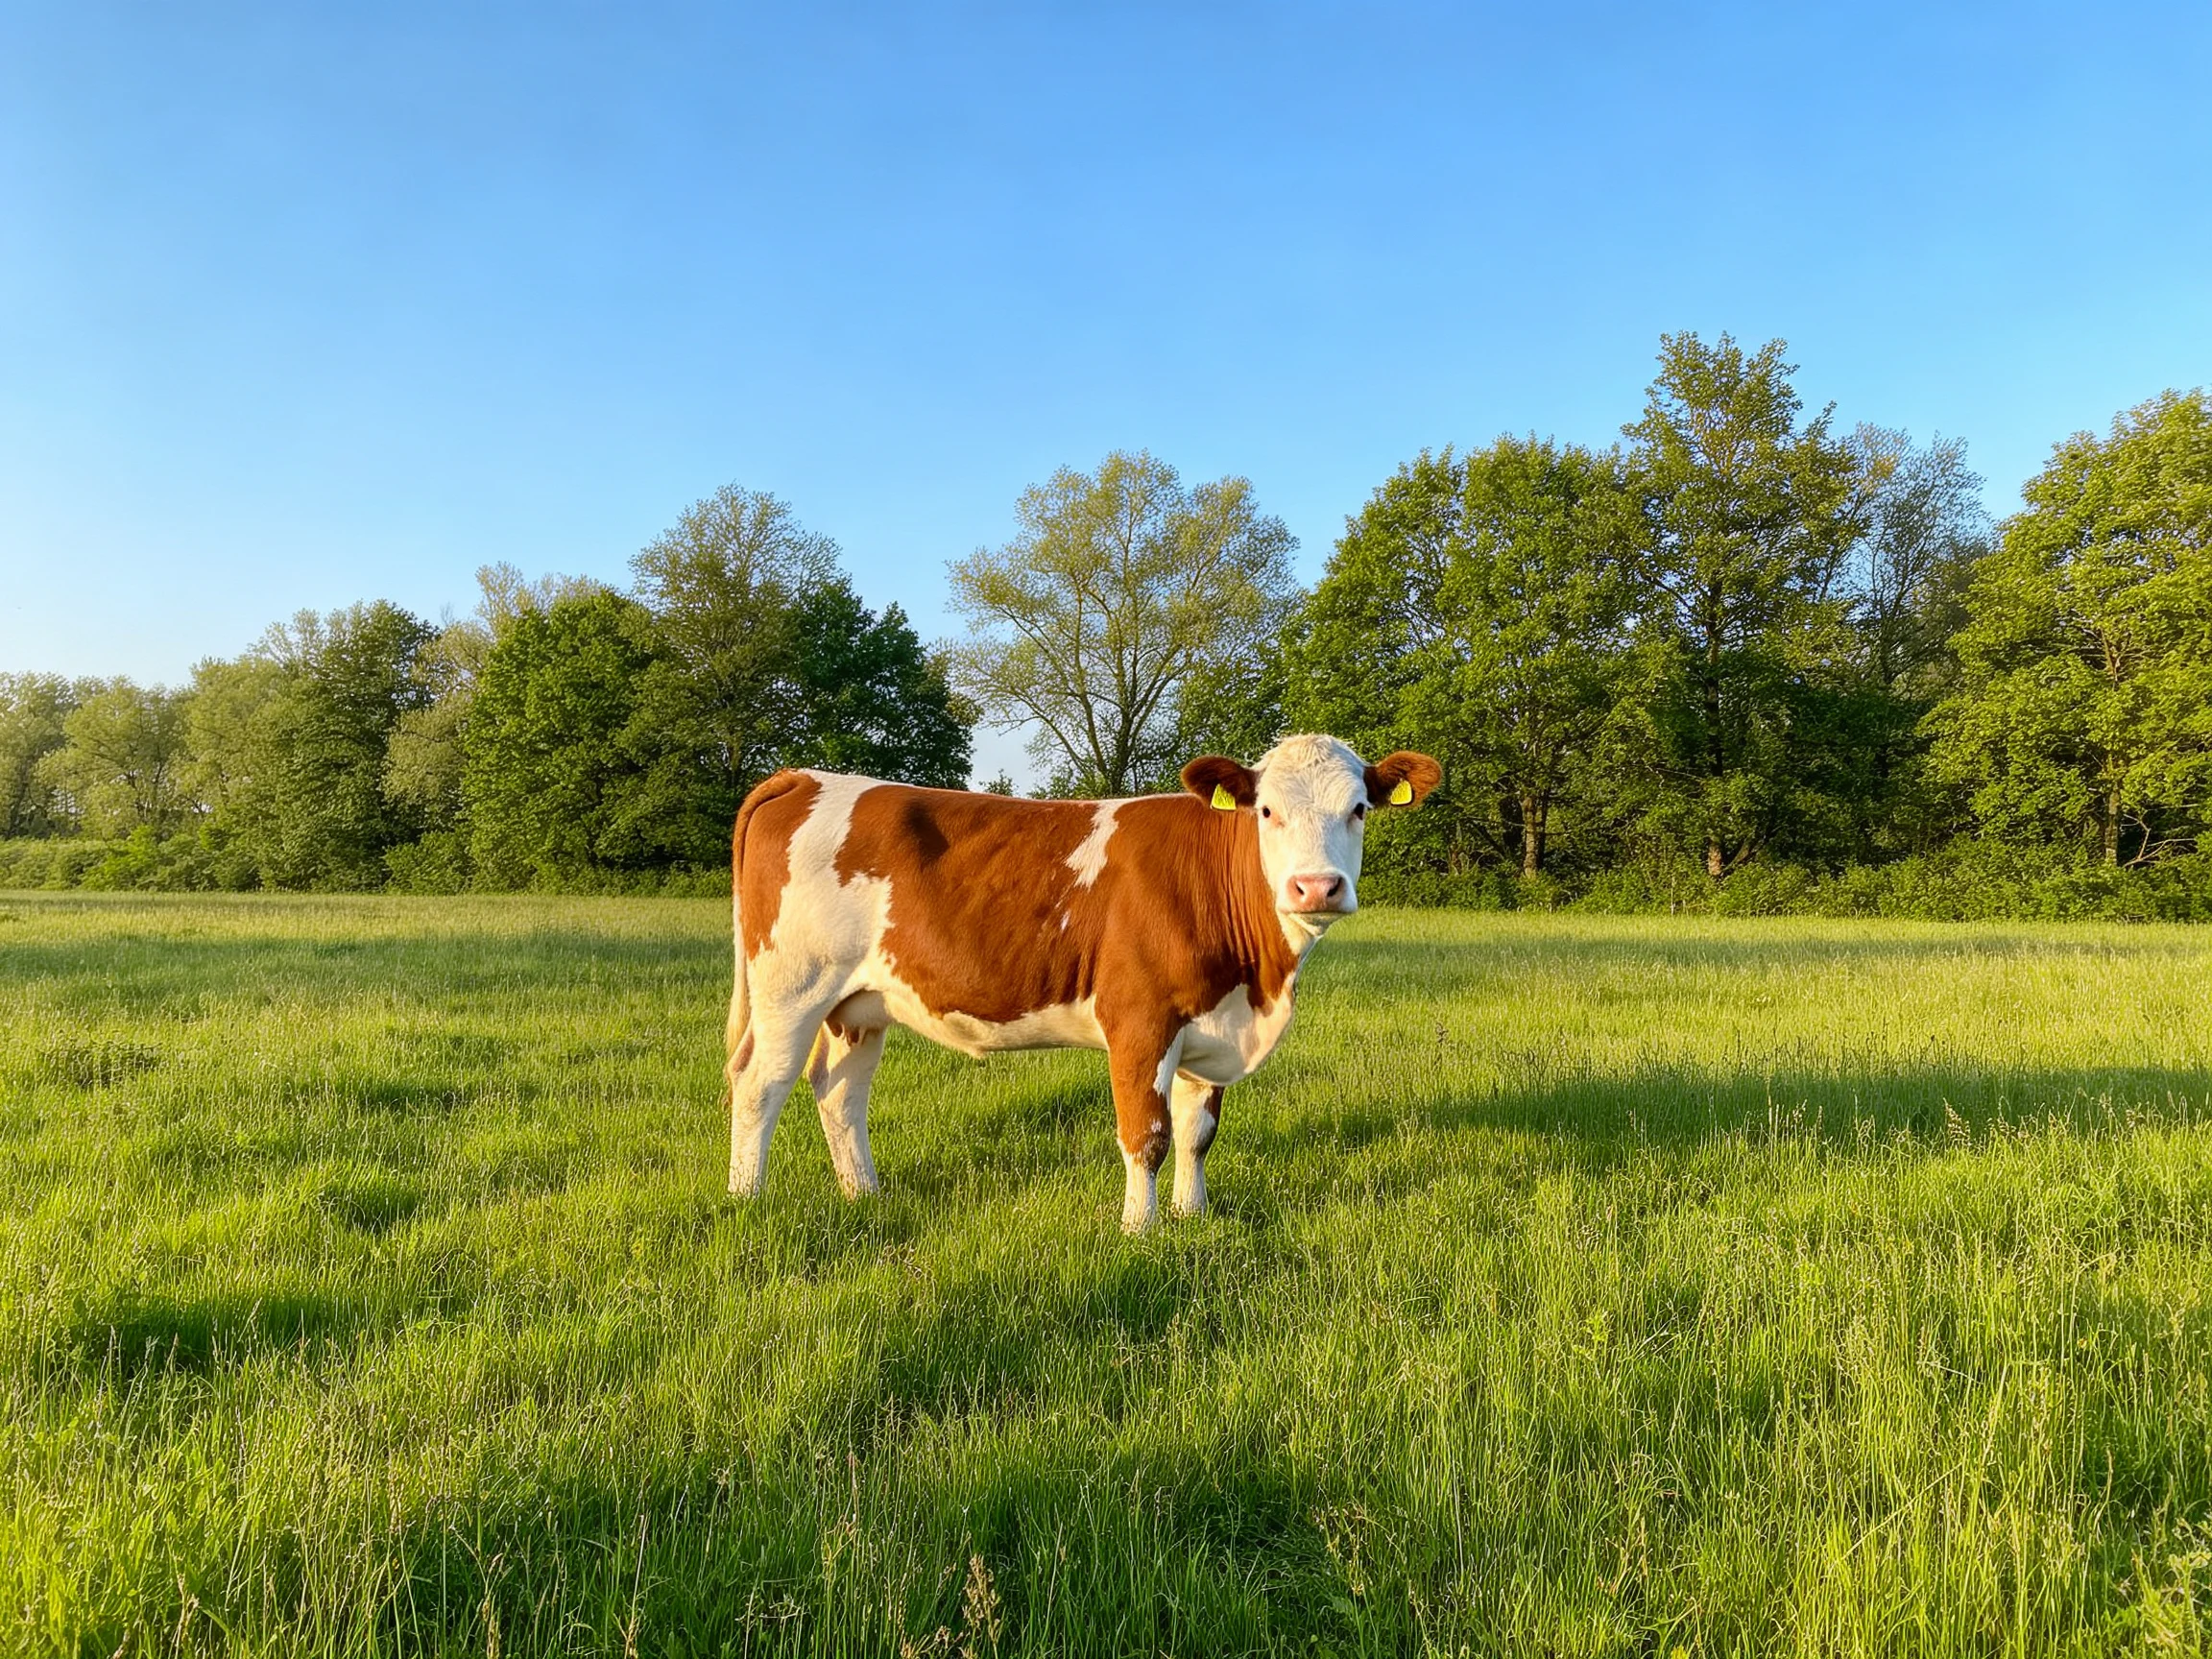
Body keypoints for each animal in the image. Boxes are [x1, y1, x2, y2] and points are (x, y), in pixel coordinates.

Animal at [723, 734, 1442, 1231]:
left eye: (1359, 809)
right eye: (1265, 811)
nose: (1316, 887)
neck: (1259, 984)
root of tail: (805, 777)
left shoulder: (1210, 1025)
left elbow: (1197, 1133)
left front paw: (1193, 1216)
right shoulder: (1140, 1021)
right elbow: (1146, 1135)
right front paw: (1140, 1230)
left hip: (858, 1004)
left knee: (839, 1091)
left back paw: (864, 1195)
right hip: (792, 985)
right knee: (760, 1083)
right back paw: (746, 1198)